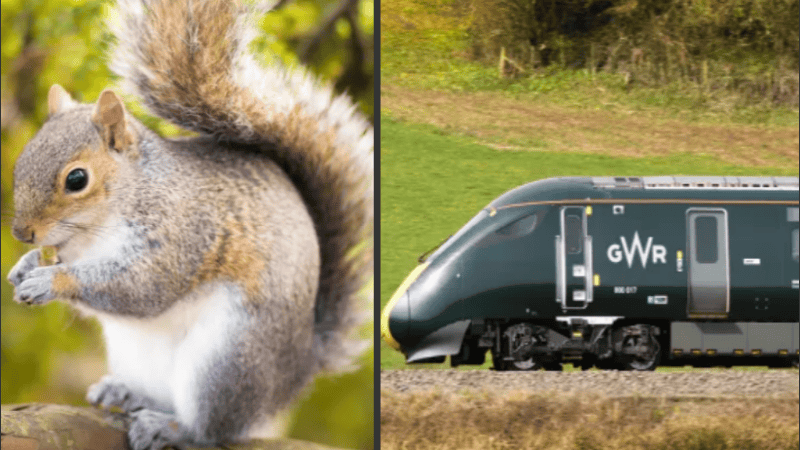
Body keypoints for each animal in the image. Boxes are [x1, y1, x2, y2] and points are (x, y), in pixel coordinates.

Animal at [4, 0, 374, 450]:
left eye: (77, 179)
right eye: (22, 160)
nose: (23, 234)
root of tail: (299, 367)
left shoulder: (183, 234)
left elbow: (143, 288)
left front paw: (49, 280)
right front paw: (23, 267)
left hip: (226, 359)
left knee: (212, 429)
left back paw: (171, 426)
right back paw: (124, 393)